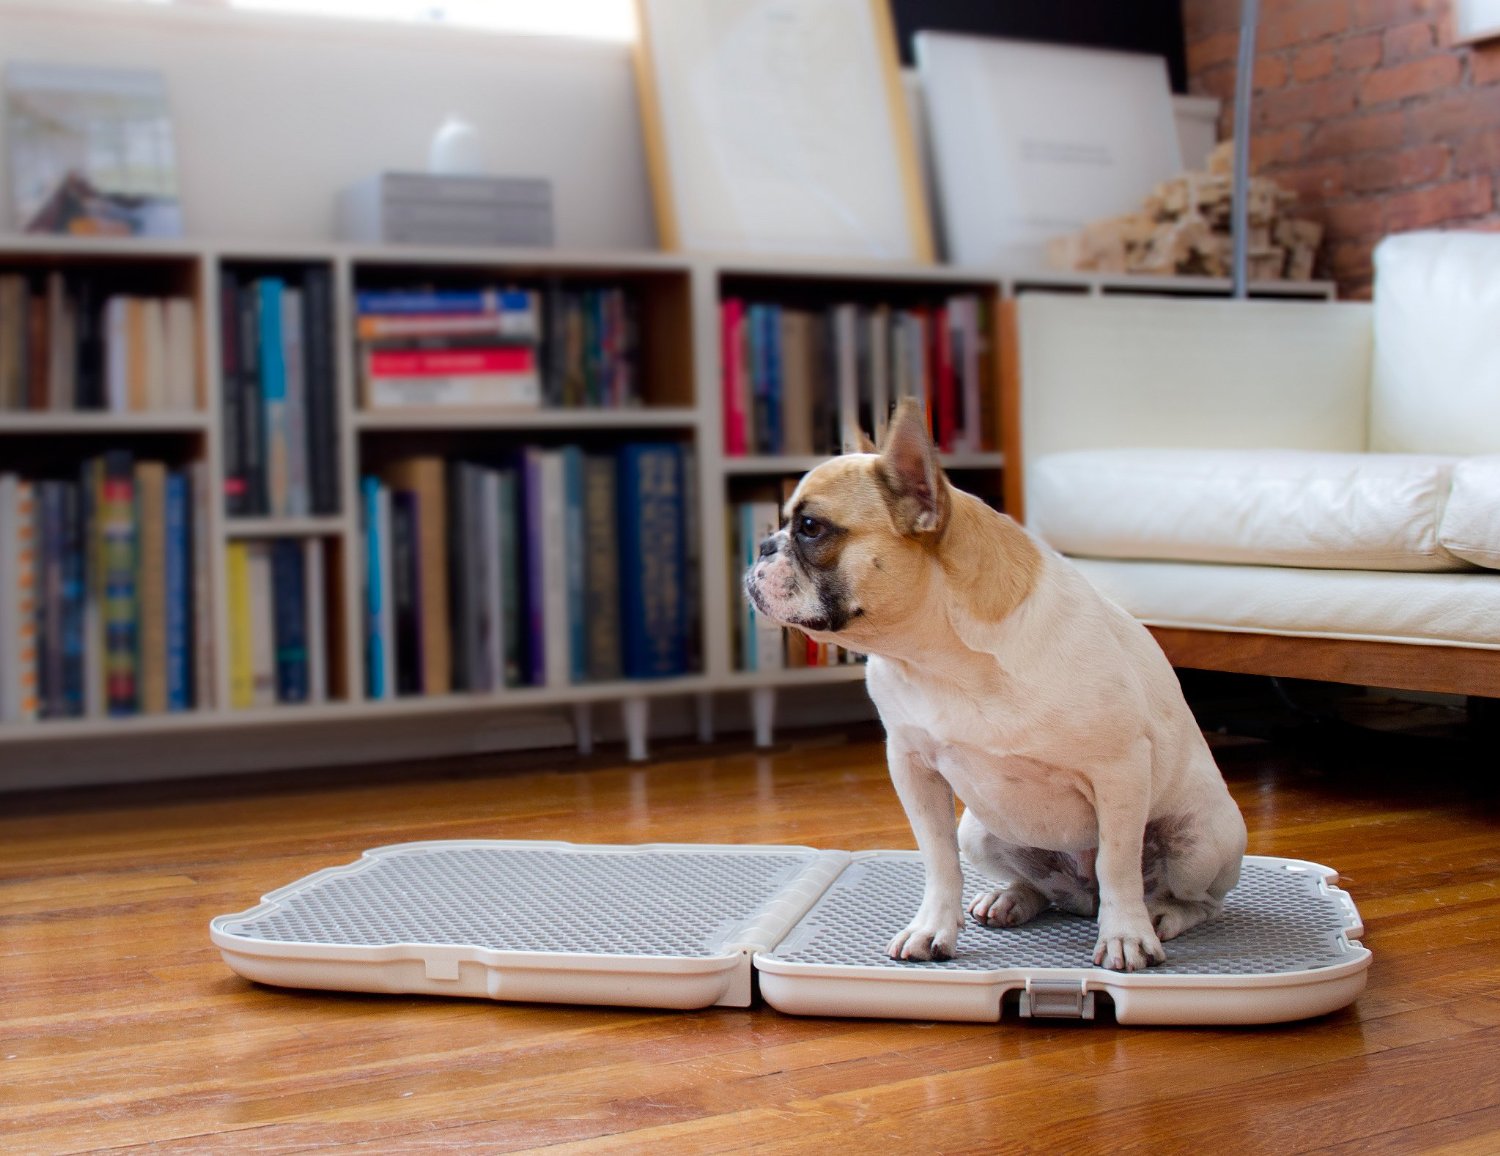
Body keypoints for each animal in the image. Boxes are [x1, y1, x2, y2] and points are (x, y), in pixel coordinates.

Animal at [744, 401, 1248, 971]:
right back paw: (1010, 898)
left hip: (1199, 840)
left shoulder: (1120, 772)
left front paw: (1126, 935)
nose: (762, 546)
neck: (937, 656)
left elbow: (1118, 865)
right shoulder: (912, 767)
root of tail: (1081, 894)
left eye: (810, 528)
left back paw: (1161, 914)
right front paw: (933, 927)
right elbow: (939, 861)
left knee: (1194, 899)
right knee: (1043, 888)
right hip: (980, 831)